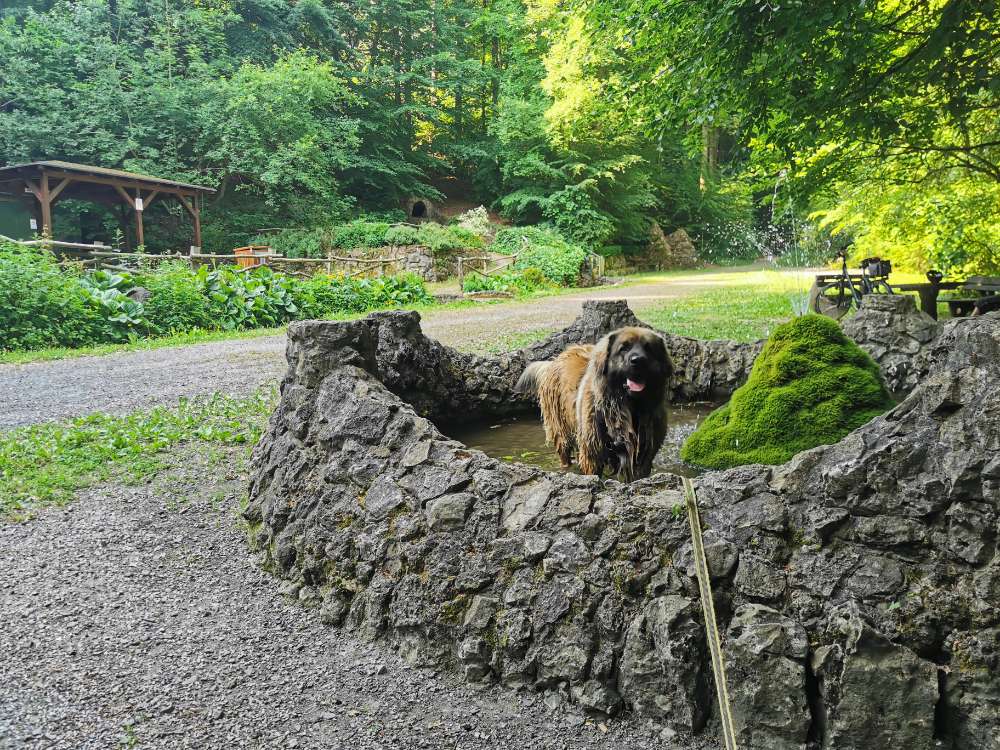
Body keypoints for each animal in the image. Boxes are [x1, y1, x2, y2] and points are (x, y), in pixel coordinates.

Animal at [516, 328, 672, 482]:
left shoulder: (642, 453)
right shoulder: (592, 451)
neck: (628, 406)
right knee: (564, 453)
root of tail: (555, 360)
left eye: (649, 348)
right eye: (624, 348)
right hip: (561, 429)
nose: (638, 360)